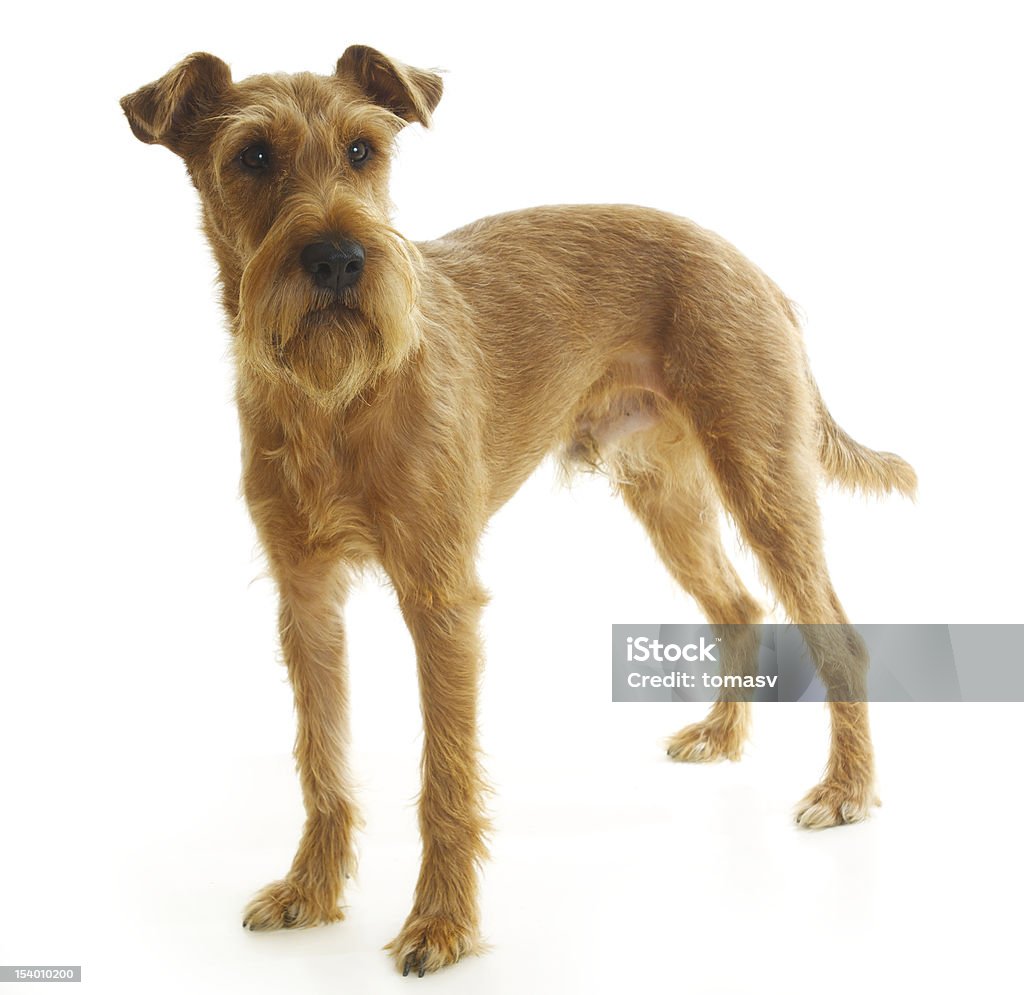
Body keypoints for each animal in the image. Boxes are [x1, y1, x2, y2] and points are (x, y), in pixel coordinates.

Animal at [121, 50, 921, 974]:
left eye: (362, 150)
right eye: (252, 156)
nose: (338, 259)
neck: (339, 398)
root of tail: (753, 267)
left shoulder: (440, 598)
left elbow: (446, 775)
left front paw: (441, 923)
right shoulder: (307, 599)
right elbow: (322, 760)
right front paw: (312, 891)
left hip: (763, 484)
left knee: (837, 634)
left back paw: (846, 789)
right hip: (668, 496)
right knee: (738, 604)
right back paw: (722, 738)